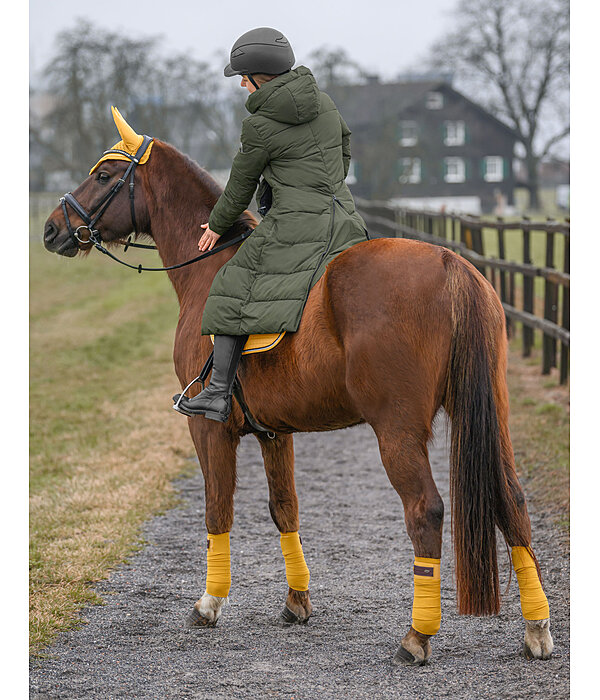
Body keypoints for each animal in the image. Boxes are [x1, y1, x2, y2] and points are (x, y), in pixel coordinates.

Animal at [43, 127, 552, 668]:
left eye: (103, 176)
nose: (52, 229)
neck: (209, 269)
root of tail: (448, 262)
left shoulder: (207, 428)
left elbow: (217, 507)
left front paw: (209, 603)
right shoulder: (274, 432)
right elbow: (284, 507)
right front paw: (297, 600)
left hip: (397, 432)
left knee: (426, 511)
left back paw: (417, 635)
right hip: (487, 416)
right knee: (511, 500)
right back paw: (536, 628)